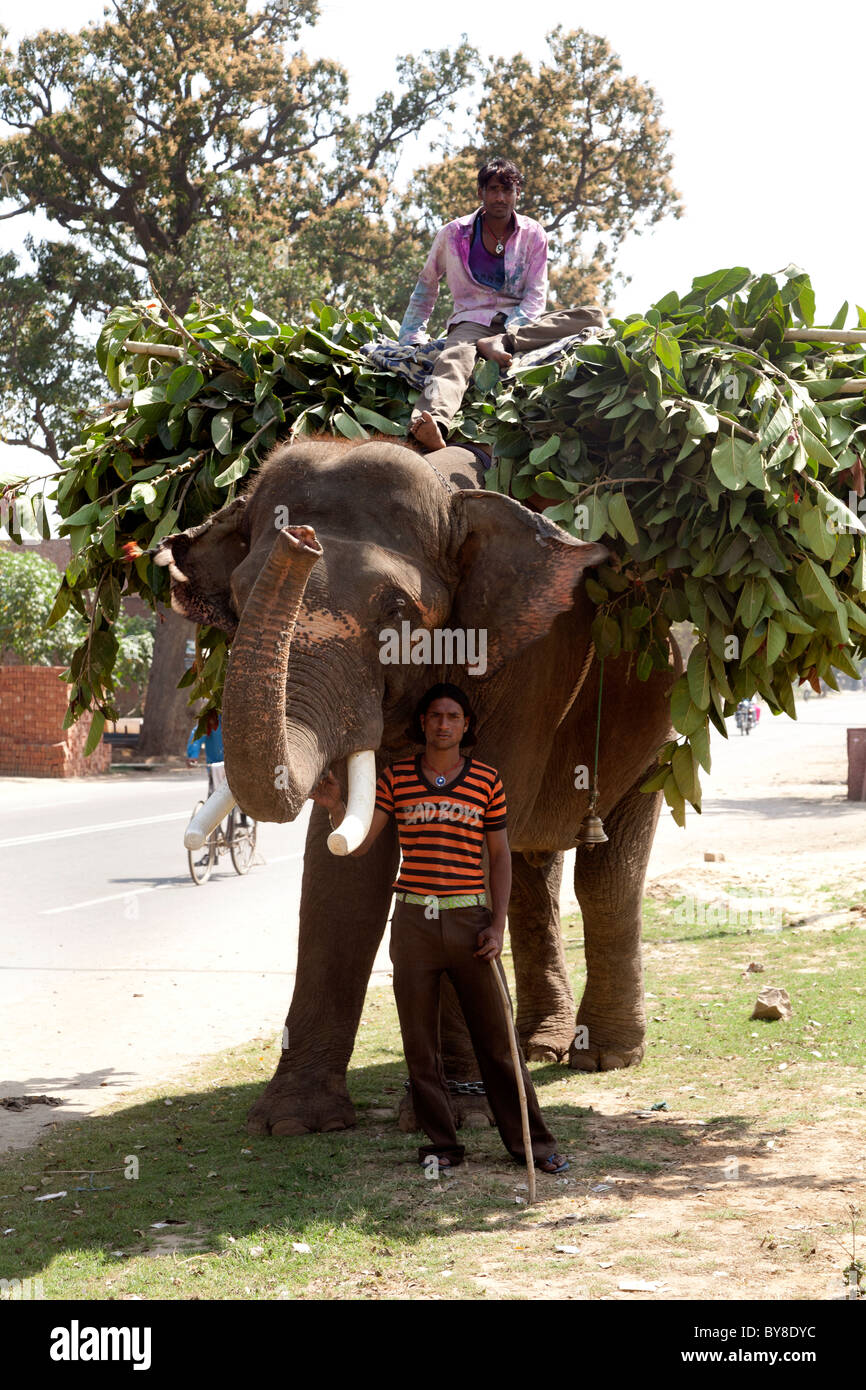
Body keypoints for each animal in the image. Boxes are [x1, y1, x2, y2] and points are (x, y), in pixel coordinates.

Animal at [155, 436, 676, 1137]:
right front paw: (293, 1123)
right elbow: (342, 872)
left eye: (398, 612)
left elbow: (469, 851)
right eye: (237, 598)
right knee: (531, 870)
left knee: (606, 870)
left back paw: (604, 1056)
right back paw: (539, 1045)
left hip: (659, 724)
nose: (301, 539)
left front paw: (464, 1109)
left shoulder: (526, 662)